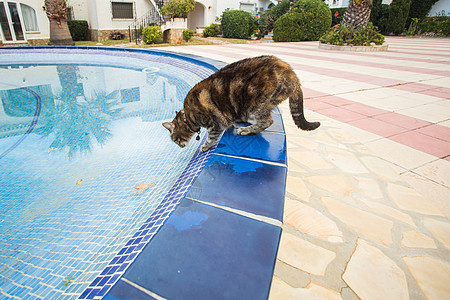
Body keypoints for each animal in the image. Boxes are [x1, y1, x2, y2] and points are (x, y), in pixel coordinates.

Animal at [162, 55, 320, 151]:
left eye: (174, 140)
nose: (179, 146)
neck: (189, 116)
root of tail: (292, 74)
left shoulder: (215, 123)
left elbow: (212, 137)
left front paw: (205, 146)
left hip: (257, 104)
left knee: (267, 121)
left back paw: (246, 130)